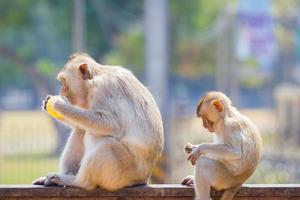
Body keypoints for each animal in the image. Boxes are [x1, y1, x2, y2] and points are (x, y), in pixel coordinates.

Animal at [32, 53, 164, 191]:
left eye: (64, 81)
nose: (61, 92)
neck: (95, 79)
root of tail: (144, 178)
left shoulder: (102, 89)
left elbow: (110, 123)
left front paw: (60, 105)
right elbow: (80, 123)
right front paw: (49, 104)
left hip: (125, 173)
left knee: (106, 144)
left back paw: (78, 181)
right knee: (81, 129)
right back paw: (66, 175)